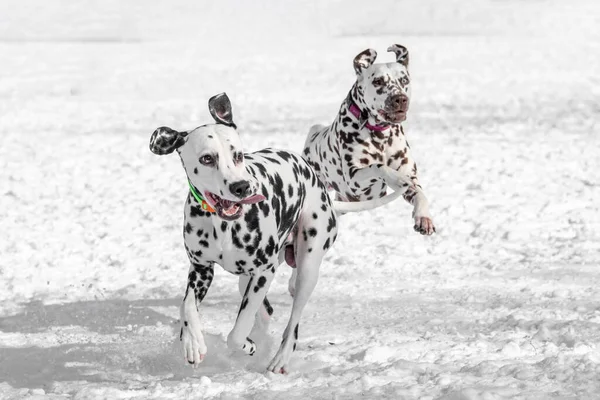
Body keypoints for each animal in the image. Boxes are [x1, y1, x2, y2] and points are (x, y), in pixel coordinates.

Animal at [150, 92, 404, 374]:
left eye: (238, 155)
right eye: (207, 158)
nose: (241, 187)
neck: (223, 224)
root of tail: (323, 191)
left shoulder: (264, 271)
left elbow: (237, 332)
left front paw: (245, 345)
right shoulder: (201, 268)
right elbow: (187, 307)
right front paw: (192, 342)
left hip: (307, 269)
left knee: (292, 323)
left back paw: (279, 357)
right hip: (247, 278)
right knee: (263, 310)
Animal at [304, 43, 436, 236]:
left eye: (404, 80)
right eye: (378, 81)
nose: (399, 99)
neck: (382, 137)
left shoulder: (410, 177)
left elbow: (420, 194)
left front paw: (423, 217)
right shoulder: (354, 179)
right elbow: (378, 166)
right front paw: (395, 178)